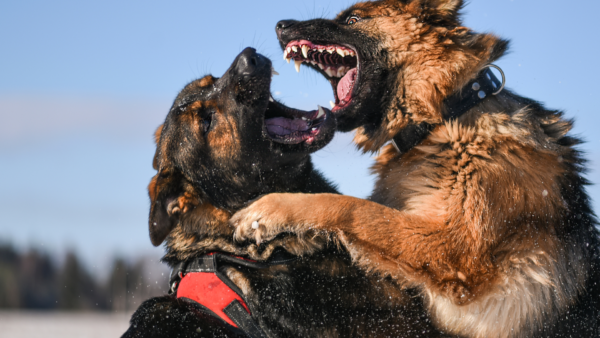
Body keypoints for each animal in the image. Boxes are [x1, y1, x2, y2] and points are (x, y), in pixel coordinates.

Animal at [230, 1, 600, 336]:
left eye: (353, 19)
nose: (281, 25)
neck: (444, 118)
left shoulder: (454, 251)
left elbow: (354, 209)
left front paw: (269, 211)